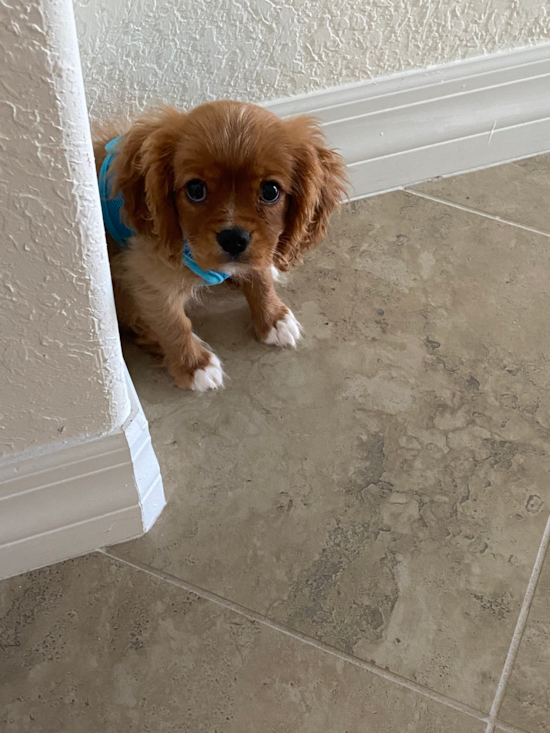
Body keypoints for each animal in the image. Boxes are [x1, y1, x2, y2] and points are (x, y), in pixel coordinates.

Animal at [92, 101, 348, 394]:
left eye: (270, 191)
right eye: (195, 189)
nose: (234, 238)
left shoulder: (262, 243)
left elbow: (260, 276)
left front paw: (273, 317)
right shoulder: (148, 276)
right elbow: (172, 324)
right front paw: (194, 366)